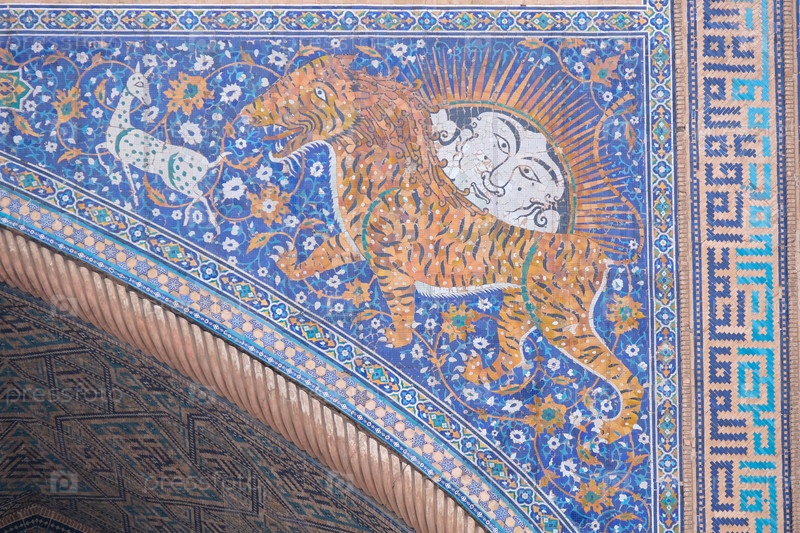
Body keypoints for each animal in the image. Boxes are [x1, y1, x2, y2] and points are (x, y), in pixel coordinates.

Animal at [242, 55, 643, 444]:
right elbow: (320, 255)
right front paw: (290, 267)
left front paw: (395, 339)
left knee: (624, 374)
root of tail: (596, 251)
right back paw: (477, 374)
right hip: (517, 311)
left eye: (317, 92)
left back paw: (619, 427)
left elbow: (402, 309)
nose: (250, 110)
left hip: (562, 322)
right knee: (513, 357)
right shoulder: (353, 244)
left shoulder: (391, 268)